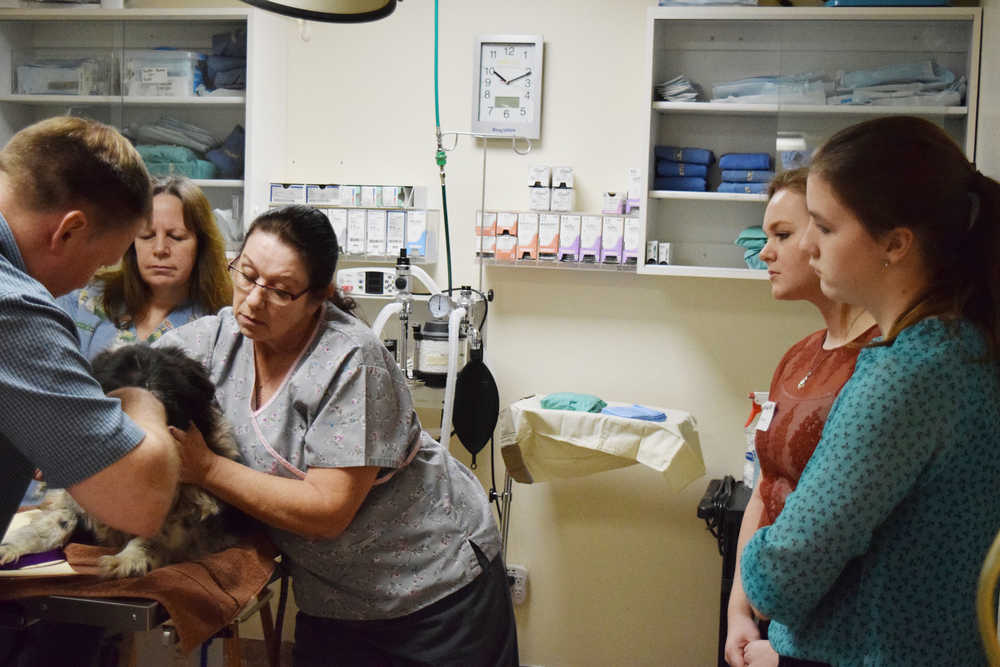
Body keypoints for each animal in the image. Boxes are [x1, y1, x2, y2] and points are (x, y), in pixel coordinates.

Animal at [0, 344, 254, 580]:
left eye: (162, 409)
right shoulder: (75, 505)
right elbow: (54, 523)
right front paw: (9, 546)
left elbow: (154, 536)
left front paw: (126, 560)